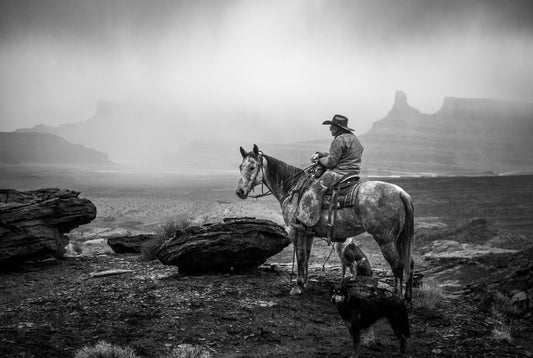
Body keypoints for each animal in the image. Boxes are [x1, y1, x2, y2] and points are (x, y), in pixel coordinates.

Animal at [235, 144, 414, 300]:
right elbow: (306, 257)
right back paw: (408, 296)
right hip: (399, 239)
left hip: (385, 240)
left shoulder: (295, 230)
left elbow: (300, 257)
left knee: (398, 265)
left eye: (252, 167)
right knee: (409, 263)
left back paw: (397, 297)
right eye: (240, 166)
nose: (240, 191)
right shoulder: (308, 233)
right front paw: (305, 283)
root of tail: (401, 193)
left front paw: (298, 285)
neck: (292, 188)